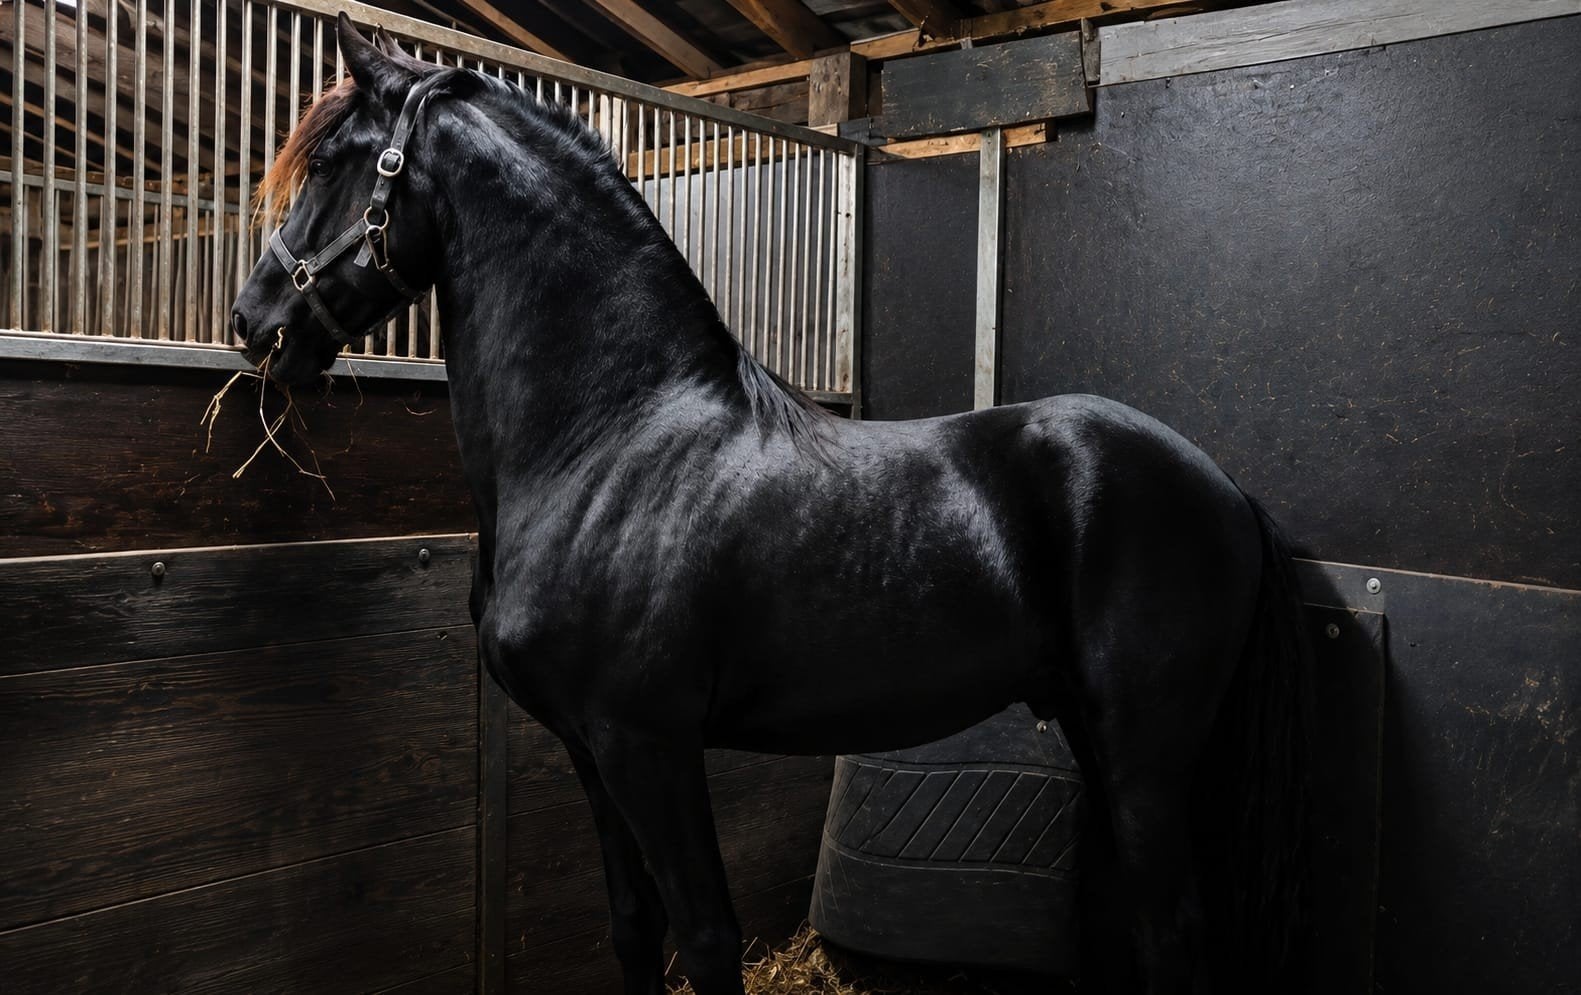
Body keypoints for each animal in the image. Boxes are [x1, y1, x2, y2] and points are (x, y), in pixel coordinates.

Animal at [230, 17, 1311, 994]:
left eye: (332, 162)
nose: (251, 320)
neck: (608, 437)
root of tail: (1223, 490)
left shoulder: (649, 744)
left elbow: (707, 938)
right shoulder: (588, 750)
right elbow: (634, 930)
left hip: (1141, 751)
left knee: (1172, 935)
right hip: (1101, 733)